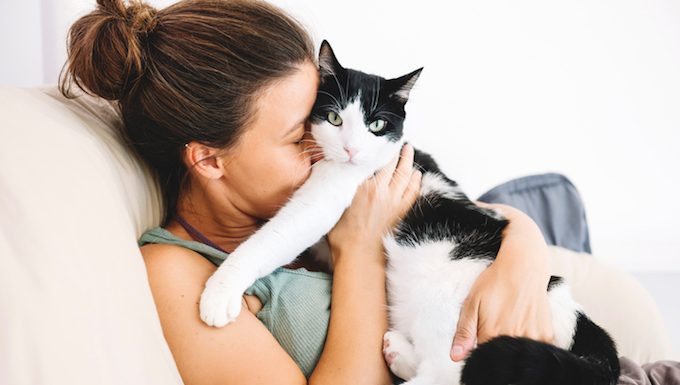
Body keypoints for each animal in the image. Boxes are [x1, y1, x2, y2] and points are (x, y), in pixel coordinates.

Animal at [198, 40, 620, 382]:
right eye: (334, 118)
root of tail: (569, 312)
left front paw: (219, 293)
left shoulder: (324, 198)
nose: (351, 149)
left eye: (376, 125)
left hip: (447, 304)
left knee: (446, 374)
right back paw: (399, 352)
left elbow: (275, 236)